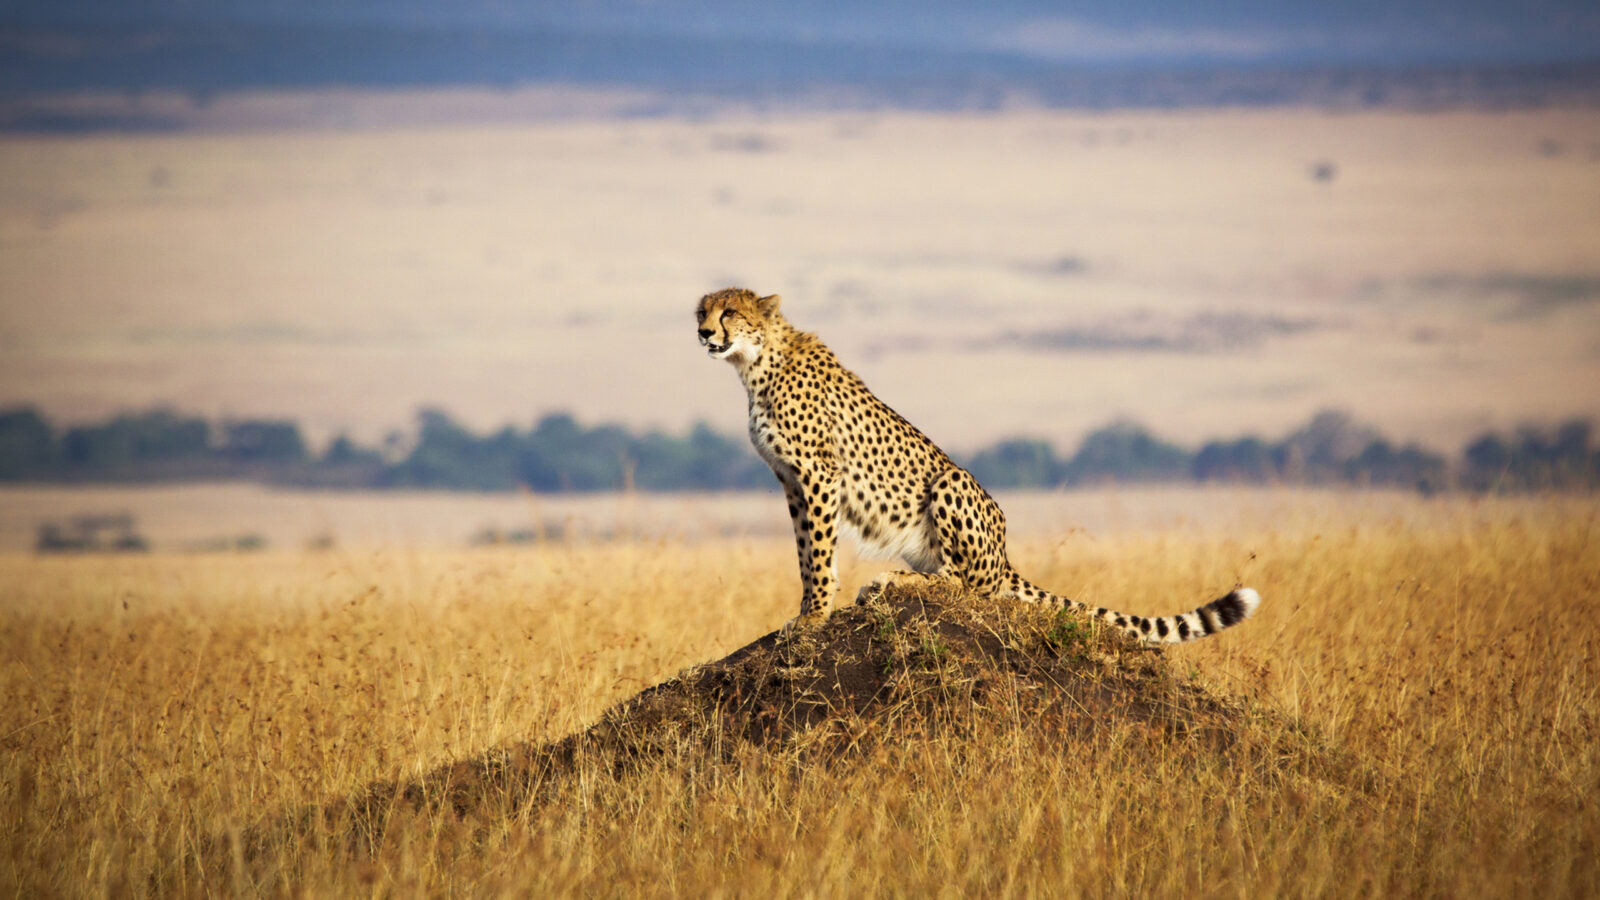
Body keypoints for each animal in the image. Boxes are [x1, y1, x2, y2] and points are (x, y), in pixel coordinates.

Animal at [696, 287, 1261, 645]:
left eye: (730, 311)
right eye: (701, 310)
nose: (703, 333)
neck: (755, 362)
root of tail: (1005, 554)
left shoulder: (818, 475)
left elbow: (817, 553)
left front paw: (813, 617)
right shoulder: (791, 482)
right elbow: (805, 553)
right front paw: (807, 610)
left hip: (952, 482)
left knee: (967, 584)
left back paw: (892, 580)